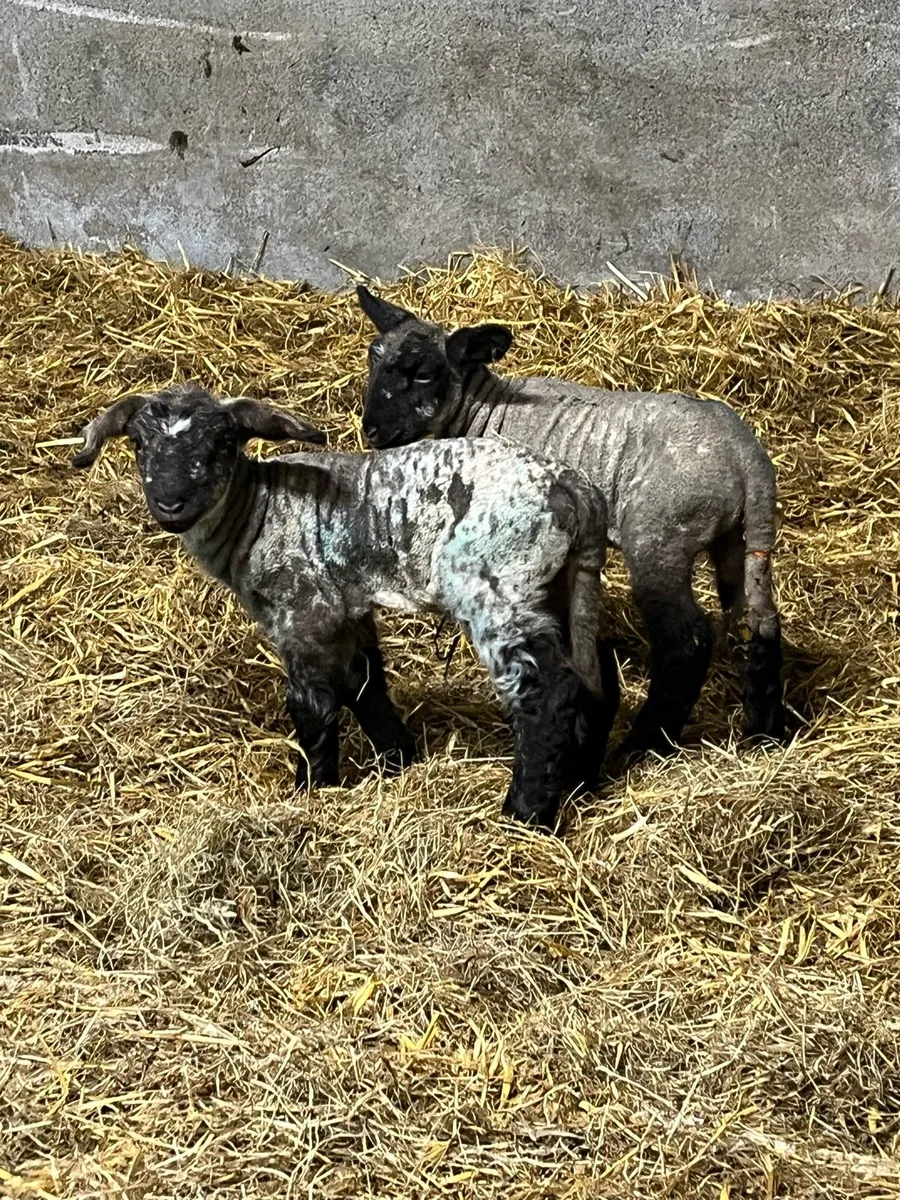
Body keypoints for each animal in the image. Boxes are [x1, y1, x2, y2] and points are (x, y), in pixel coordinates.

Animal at [73, 384, 618, 829]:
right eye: (138, 444)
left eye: (223, 444)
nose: (171, 504)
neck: (258, 513)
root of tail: (577, 494)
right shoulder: (348, 609)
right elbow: (365, 683)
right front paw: (398, 758)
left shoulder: (304, 611)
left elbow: (312, 704)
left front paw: (313, 786)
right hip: (562, 587)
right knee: (593, 677)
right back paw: (579, 782)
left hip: (499, 587)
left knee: (545, 693)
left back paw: (526, 813)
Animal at [356, 285, 787, 760]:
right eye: (374, 359)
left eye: (424, 374)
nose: (371, 430)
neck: (486, 413)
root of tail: (749, 462)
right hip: (737, 538)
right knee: (758, 621)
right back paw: (766, 731)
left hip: (660, 535)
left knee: (686, 641)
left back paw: (641, 745)